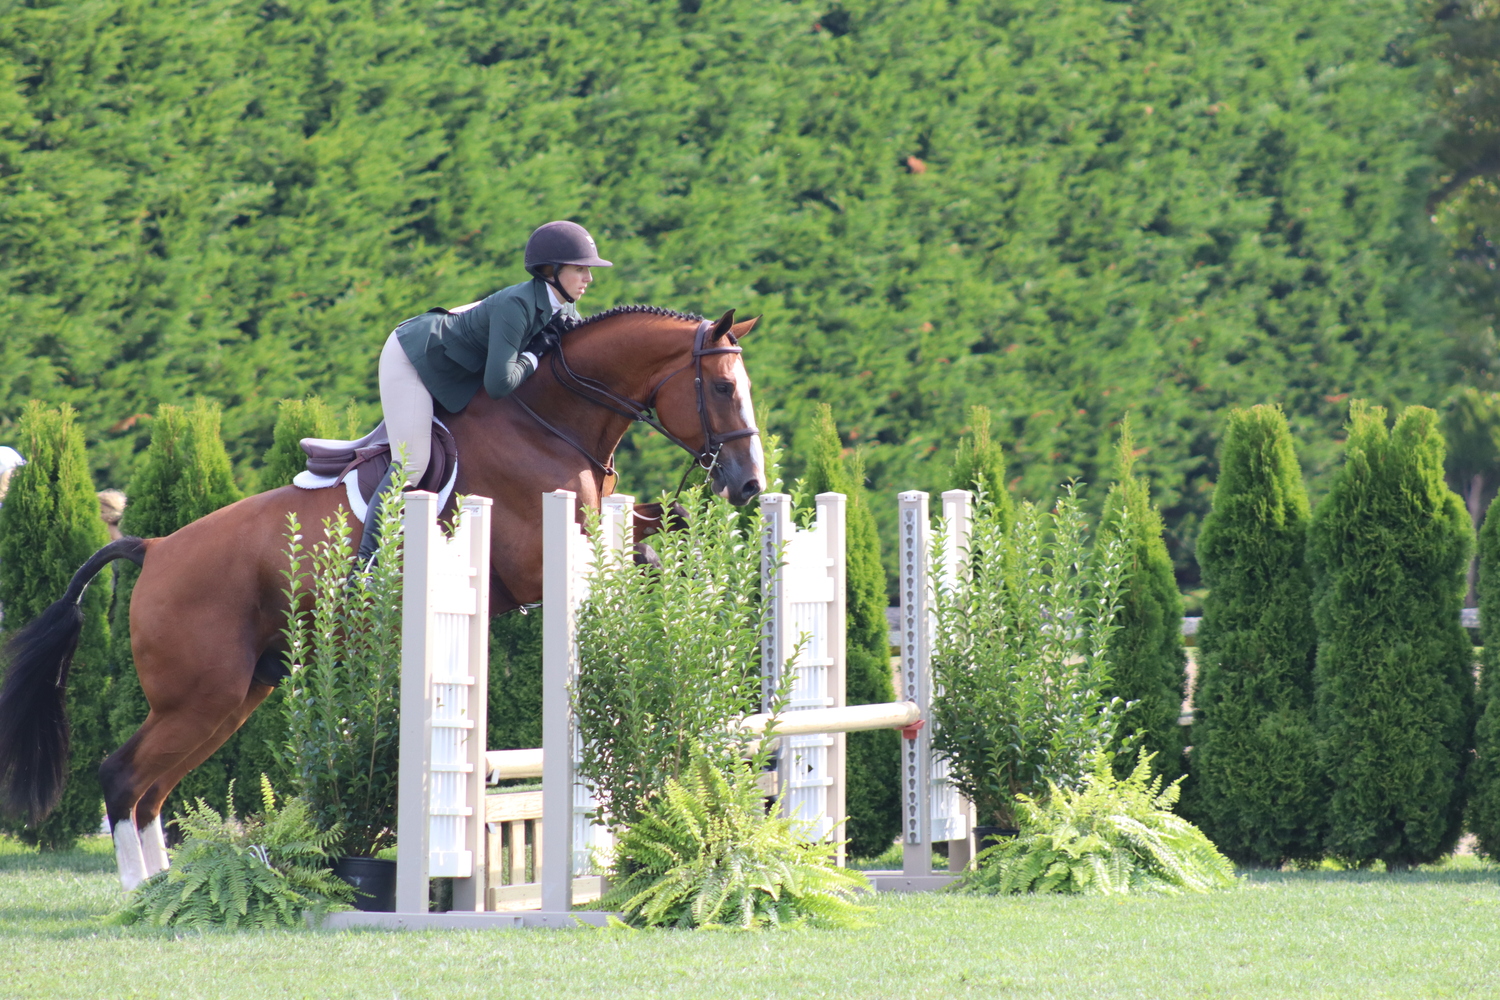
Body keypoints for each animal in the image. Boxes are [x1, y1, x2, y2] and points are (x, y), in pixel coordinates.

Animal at [0, 308, 756, 887]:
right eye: (723, 388)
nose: (748, 484)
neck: (549, 422)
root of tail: (153, 549)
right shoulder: (540, 560)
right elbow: (635, 554)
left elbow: (655, 530)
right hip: (199, 696)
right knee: (123, 778)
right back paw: (142, 896)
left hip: (236, 694)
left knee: (151, 791)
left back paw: (164, 887)